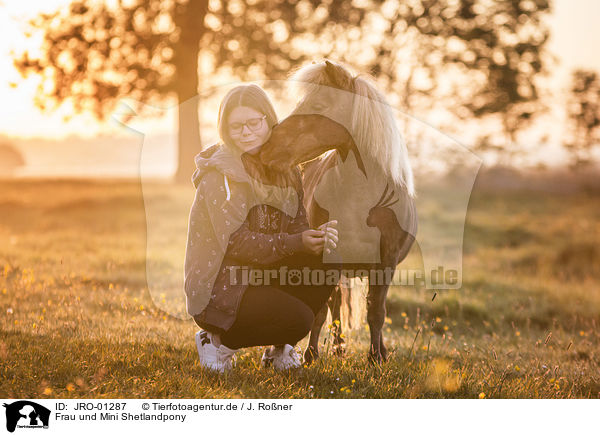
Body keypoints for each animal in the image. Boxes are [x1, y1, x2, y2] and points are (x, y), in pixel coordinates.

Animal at [260, 59, 420, 362]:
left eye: (320, 105)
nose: (267, 149)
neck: (360, 197)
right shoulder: (325, 255)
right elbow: (322, 310)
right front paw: (311, 355)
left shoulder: (387, 261)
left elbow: (376, 311)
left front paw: (376, 357)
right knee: (333, 304)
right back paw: (335, 347)